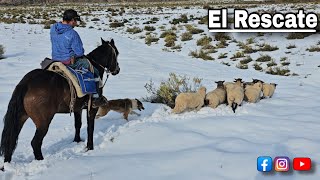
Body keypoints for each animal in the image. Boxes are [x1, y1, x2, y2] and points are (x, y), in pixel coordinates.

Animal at [0, 38, 120, 166]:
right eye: (116, 53)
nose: (117, 70)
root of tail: (26, 83)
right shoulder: (92, 109)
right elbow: (90, 127)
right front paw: (90, 147)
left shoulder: (77, 108)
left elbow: (78, 124)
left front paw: (77, 141)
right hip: (43, 122)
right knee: (35, 142)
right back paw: (41, 161)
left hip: (20, 117)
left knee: (11, 140)